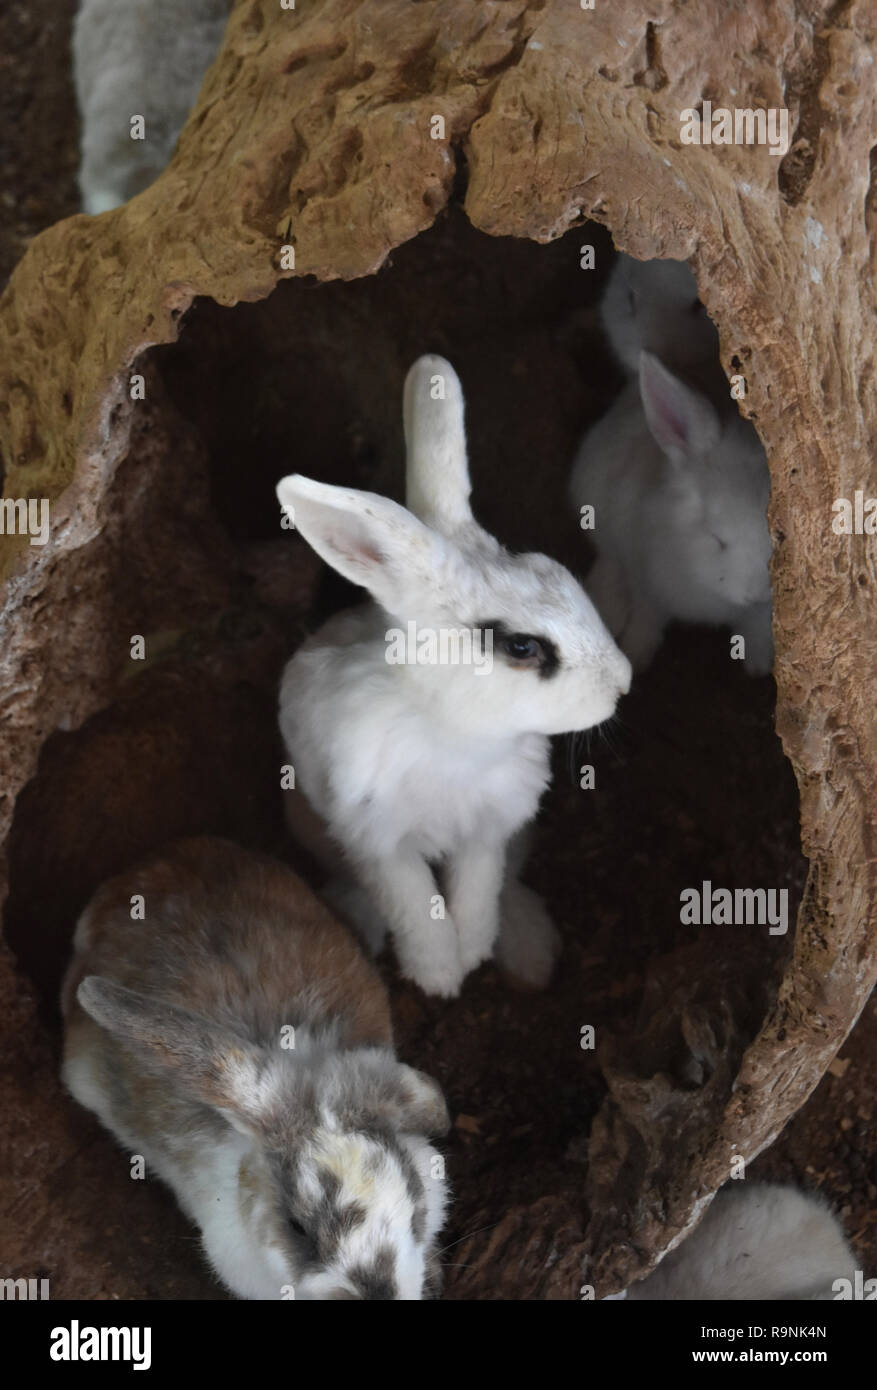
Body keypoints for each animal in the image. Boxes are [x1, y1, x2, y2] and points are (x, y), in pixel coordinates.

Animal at [276, 354, 631, 999]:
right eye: (521, 646)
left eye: (556, 572)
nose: (623, 682)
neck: (455, 734)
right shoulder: (378, 839)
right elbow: (413, 902)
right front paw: (438, 974)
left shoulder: (490, 829)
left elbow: (477, 892)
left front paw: (472, 953)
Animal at [570, 349, 773, 675]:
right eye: (715, 535)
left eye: (776, 535)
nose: (753, 593)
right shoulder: (646, 583)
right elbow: (646, 619)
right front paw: (634, 656)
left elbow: (755, 627)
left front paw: (758, 665)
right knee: (609, 561)